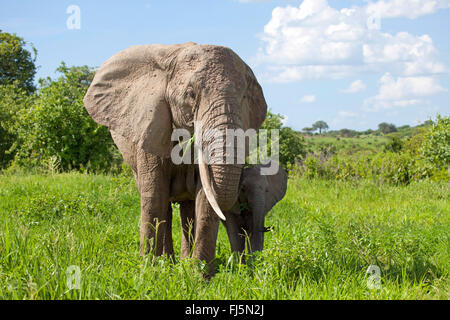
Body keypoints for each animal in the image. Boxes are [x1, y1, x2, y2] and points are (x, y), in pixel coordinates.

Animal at [83, 42, 268, 278]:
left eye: (244, 97)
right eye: (190, 94)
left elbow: (205, 198)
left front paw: (199, 277)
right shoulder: (151, 126)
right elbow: (154, 196)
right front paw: (148, 273)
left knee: (187, 212)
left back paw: (181, 263)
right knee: (164, 206)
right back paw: (168, 264)